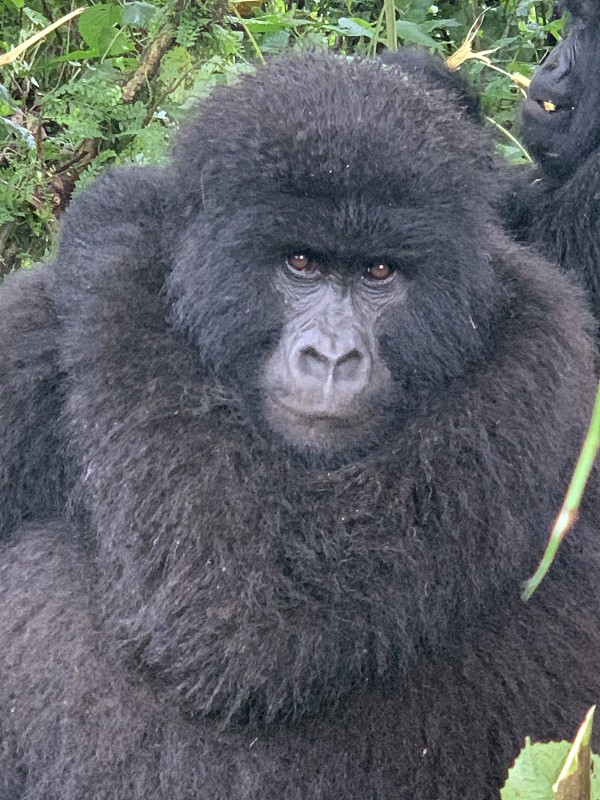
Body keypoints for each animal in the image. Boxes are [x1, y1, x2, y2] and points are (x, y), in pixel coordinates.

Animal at [0, 51, 600, 800]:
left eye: (380, 271)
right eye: (301, 262)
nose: (333, 356)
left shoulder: (540, 354)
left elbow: (242, 615)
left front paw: (123, 222)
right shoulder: (31, 332)